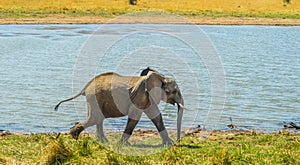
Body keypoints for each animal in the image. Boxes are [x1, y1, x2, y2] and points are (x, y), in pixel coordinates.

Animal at [54, 67, 184, 146]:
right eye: (174, 91)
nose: (179, 141)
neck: (161, 77)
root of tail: (85, 87)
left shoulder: (147, 98)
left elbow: (156, 117)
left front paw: (170, 144)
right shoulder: (141, 95)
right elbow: (135, 117)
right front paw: (123, 145)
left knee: (98, 119)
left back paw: (102, 141)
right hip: (94, 97)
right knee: (95, 118)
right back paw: (74, 135)